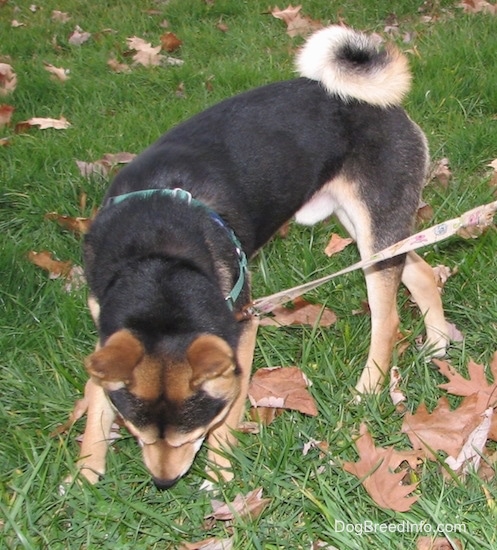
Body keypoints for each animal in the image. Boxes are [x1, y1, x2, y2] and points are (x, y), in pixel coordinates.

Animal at [68, 25, 448, 492]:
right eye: (137, 433)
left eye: (190, 435)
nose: (163, 483)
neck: (153, 255)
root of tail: (384, 105)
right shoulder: (108, 326)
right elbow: (97, 400)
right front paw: (84, 473)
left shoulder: (241, 327)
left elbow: (231, 411)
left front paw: (219, 473)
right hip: (369, 233)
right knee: (421, 270)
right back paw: (439, 340)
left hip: (376, 227)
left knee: (388, 318)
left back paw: (369, 387)